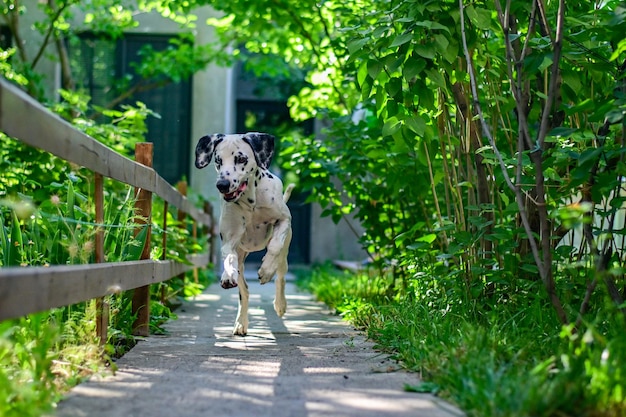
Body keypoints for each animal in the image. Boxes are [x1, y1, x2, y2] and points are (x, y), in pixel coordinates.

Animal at [195, 132, 292, 336]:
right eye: (218, 160)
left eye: (241, 159)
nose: (222, 184)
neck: (251, 201)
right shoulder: (229, 241)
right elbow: (228, 257)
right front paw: (227, 275)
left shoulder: (284, 220)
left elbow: (274, 246)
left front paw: (266, 270)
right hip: (241, 259)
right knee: (244, 292)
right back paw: (241, 322)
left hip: (285, 254)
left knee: (280, 275)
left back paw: (280, 303)